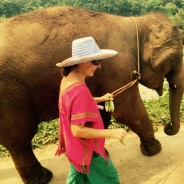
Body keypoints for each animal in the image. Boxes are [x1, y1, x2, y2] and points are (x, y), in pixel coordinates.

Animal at [0, 5, 183, 184]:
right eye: (175, 60)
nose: (167, 127)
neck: (136, 25)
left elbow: (102, 112)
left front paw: (103, 151)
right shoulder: (120, 69)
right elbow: (128, 112)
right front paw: (155, 149)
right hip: (10, 97)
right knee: (19, 138)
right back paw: (43, 178)